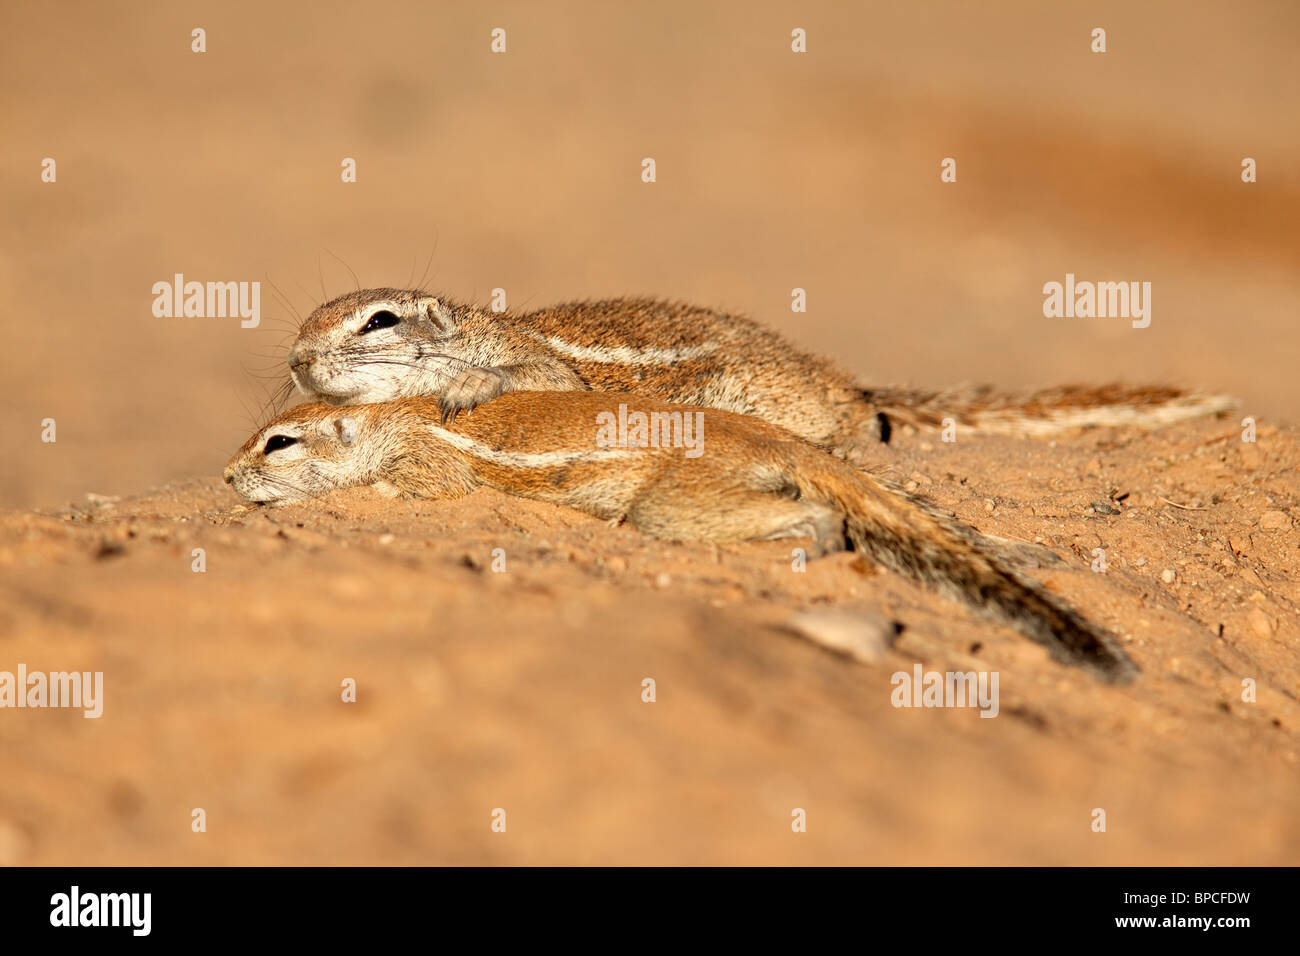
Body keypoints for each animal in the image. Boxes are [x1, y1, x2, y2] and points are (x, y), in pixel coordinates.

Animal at [223, 392, 1138, 686]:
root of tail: (779, 441)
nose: (228, 478)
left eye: (279, 443)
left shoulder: (428, 466)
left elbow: (414, 490)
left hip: (668, 504)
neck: (394, 417)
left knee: (820, 520)